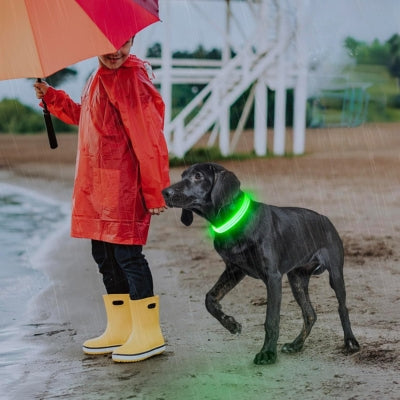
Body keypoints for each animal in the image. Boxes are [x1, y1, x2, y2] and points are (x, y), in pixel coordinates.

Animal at [161, 163, 360, 366]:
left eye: (198, 176)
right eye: (182, 175)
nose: (165, 192)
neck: (233, 220)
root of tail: (325, 219)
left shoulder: (272, 278)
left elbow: (271, 320)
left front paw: (268, 353)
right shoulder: (234, 270)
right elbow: (210, 298)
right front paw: (231, 324)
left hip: (335, 274)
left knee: (342, 307)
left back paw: (350, 342)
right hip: (297, 279)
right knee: (310, 314)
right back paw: (296, 345)